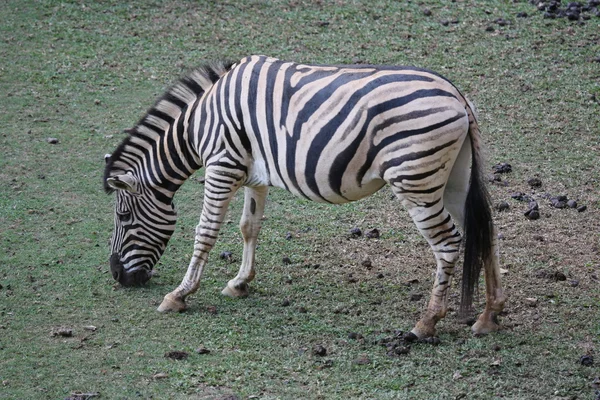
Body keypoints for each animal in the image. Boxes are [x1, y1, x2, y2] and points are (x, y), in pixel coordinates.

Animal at [104, 54, 506, 340]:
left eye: (123, 217)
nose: (117, 276)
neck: (197, 123)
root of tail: (456, 94)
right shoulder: (254, 175)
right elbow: (249, 227)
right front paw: (239, 283)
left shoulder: (221, 165)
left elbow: (205, 233)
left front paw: (179, 295)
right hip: (453, 178)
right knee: (485, 230)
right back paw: (489, 315)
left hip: (414, 179)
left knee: (448, 242)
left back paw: (427, 322)